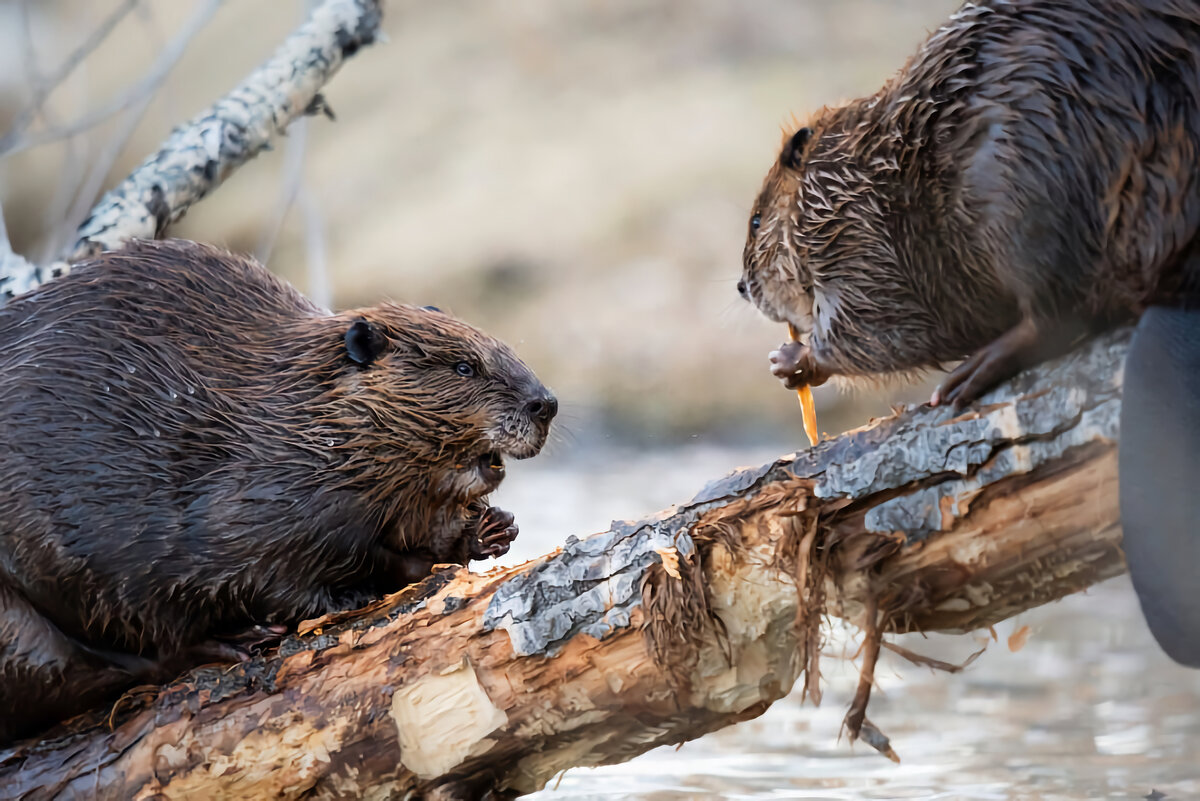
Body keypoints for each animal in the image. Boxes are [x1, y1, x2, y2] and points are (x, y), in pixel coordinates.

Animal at [0, 239, 556, 743]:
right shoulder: (251, 497)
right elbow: (261, 568)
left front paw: (493, 529)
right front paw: (353, 592)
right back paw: (233, 641)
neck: (299, 413)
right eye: (464, 367)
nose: (545, 404)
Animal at [734, 0, 1200, 661]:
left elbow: (885, 323)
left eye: (755, 221)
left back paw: (965, 378)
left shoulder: (864, 239)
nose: (741, 287)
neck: (848, 174)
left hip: (1021, 187)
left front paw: (790, 359)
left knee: (1060, 312)